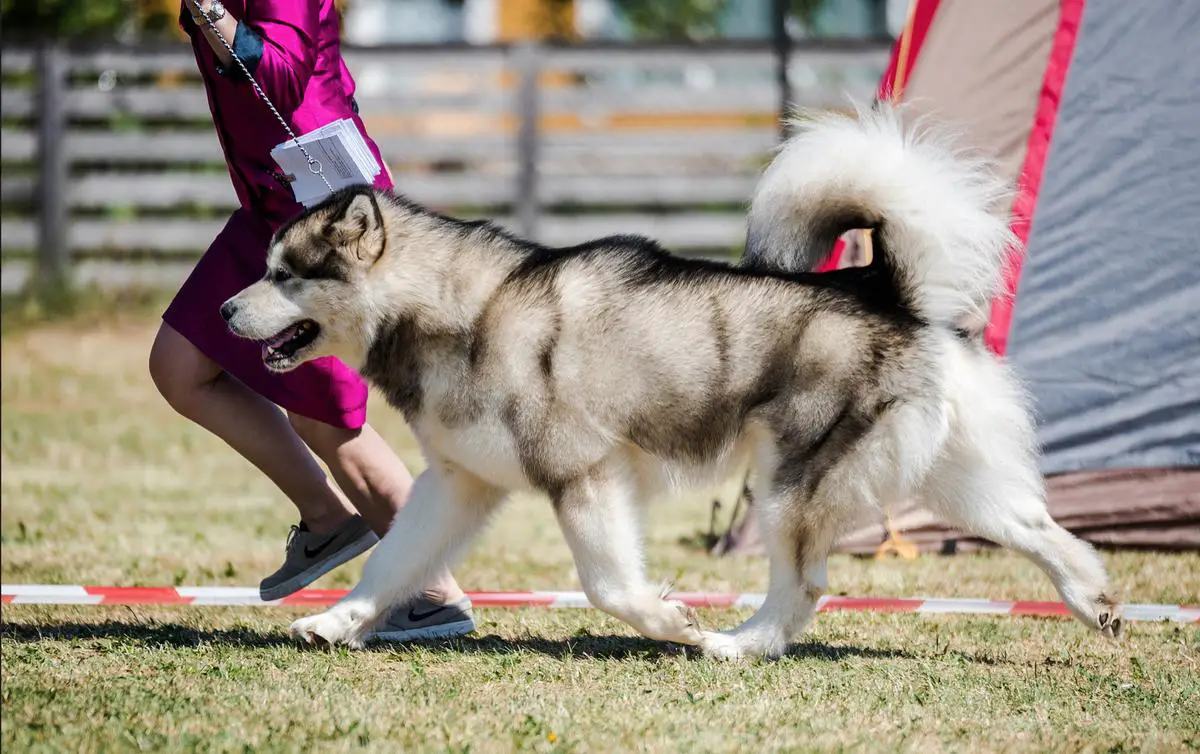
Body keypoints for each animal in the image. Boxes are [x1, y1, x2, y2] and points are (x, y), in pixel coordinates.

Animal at [220, 106, 1118, 657]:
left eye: (284, 275)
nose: (225, 309)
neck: (461, 310)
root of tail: (885, 287)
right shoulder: (459, 484)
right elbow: (390, 564)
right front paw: (335, 623)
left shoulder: (583, 474)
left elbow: (609, 584)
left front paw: (672, 621)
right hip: (948, 480)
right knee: (1042, 530)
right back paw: (1096, 602)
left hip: (791, 486)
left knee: (805, 586)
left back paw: (737, 644)